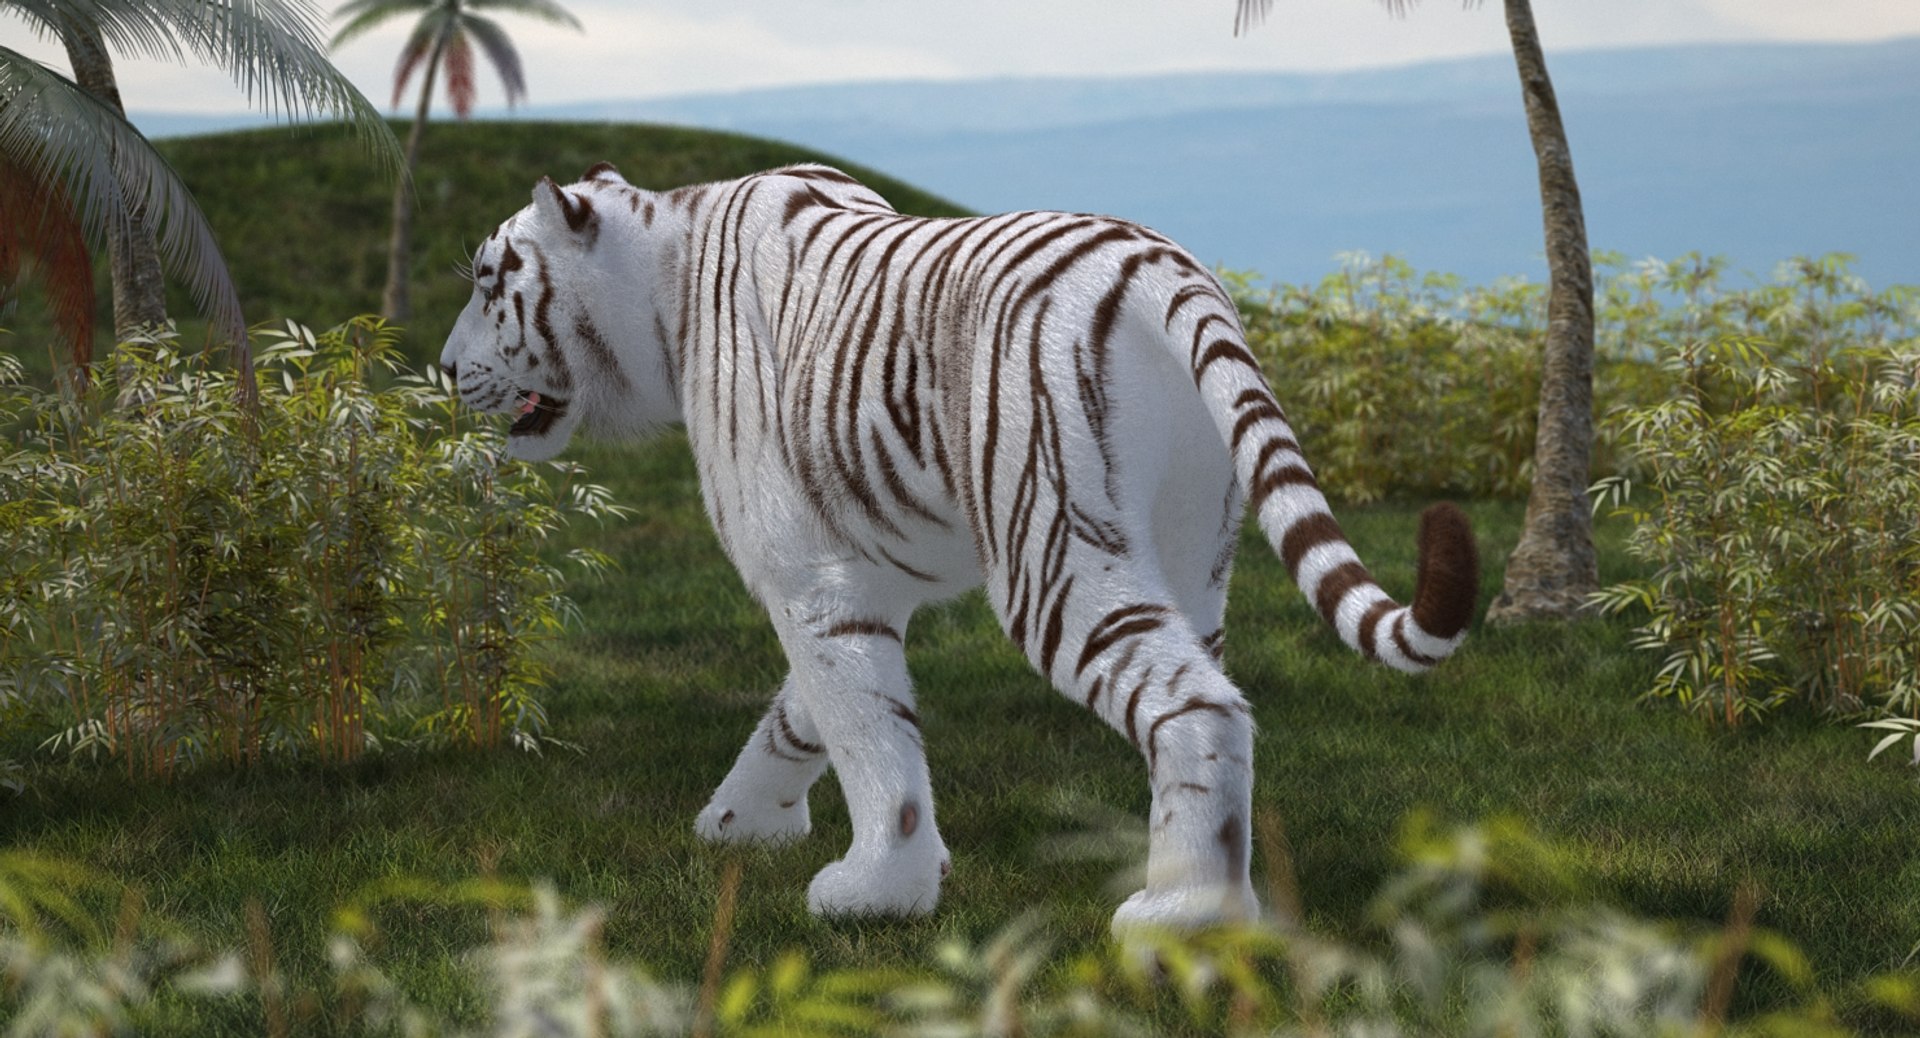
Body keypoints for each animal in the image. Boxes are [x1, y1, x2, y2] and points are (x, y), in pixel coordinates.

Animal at [439, 161, 1479, 932]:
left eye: (490, 282)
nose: (444, 370)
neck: (661, 294)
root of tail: (1165, 270)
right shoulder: (868, 569)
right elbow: (812, 710)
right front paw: (740, 823)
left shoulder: (807, 571)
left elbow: (864, 731)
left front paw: (875, 891)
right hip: (1193, 551)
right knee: (1210, 690)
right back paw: (1219, 904)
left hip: (1057, 557)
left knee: (1197, 702)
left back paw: (1178, 917)